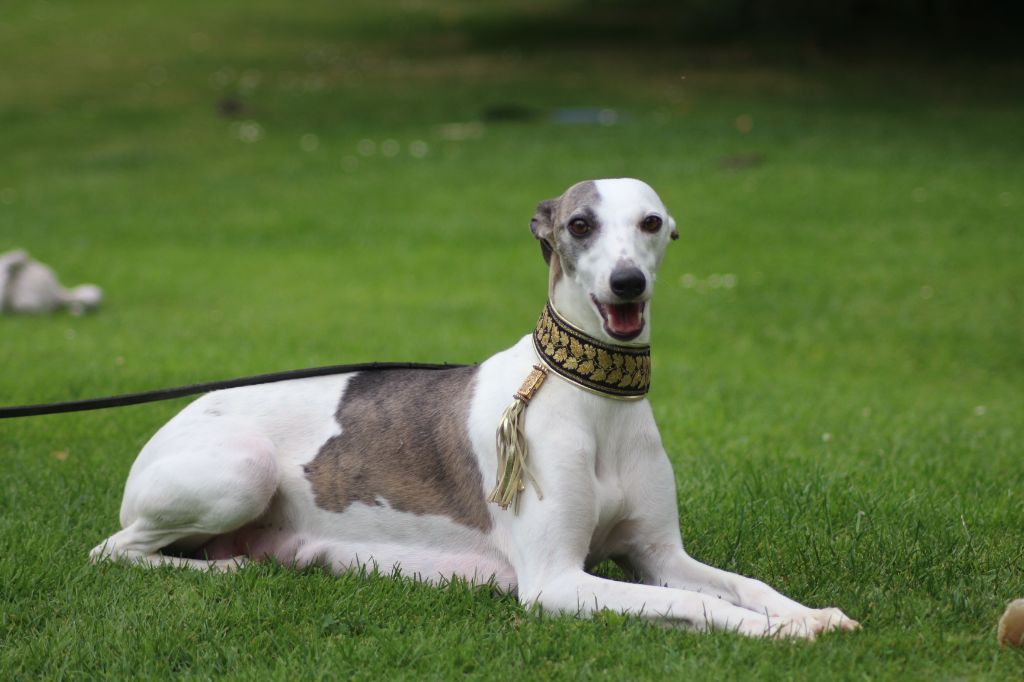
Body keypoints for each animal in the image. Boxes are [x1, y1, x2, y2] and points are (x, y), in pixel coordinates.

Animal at [94, 176, 856, 638]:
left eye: (651, 223)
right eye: (580, 224)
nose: (627, 284)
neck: (592, 399)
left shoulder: (659, 552)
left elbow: (739, 582)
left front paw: (808, 612)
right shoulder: (555, 583)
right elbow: (694, 601)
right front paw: (777, 632)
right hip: (242, 467)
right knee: (114, 549)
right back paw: (222, 569)